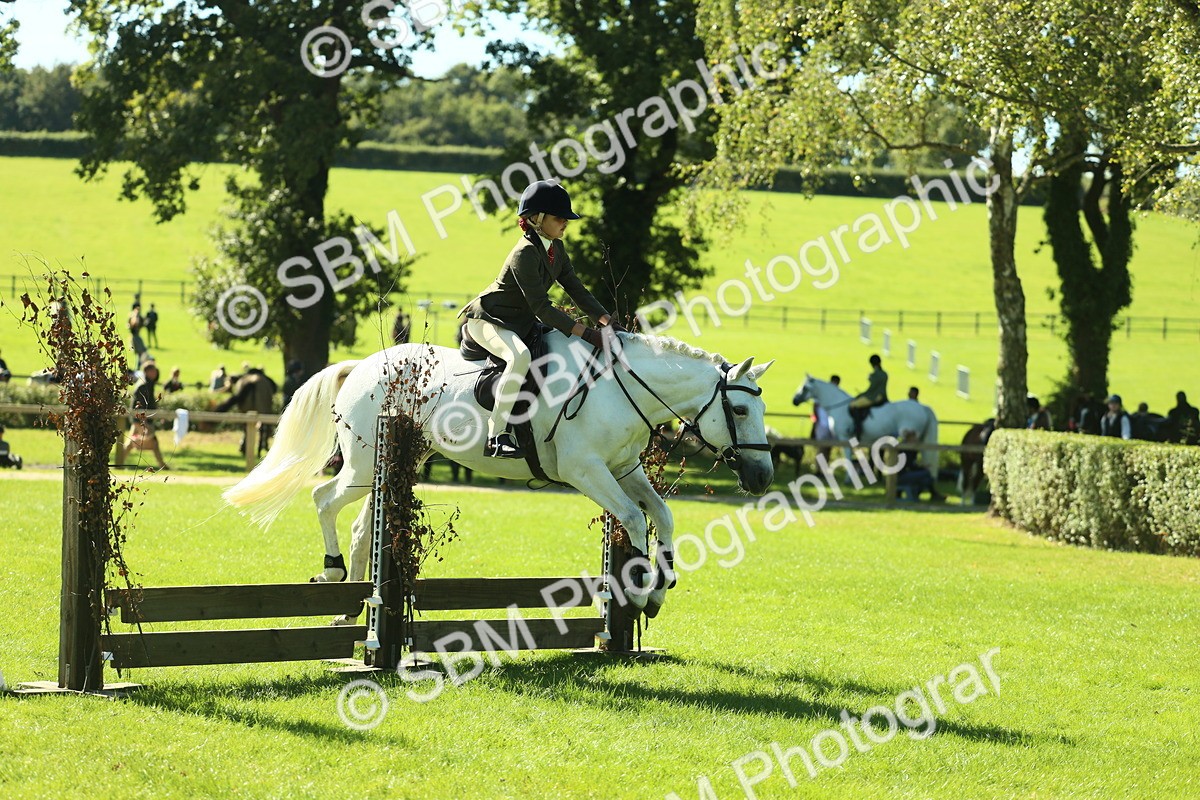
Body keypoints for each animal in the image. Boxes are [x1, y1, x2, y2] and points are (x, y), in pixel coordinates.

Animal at [223, 333, 775, 618]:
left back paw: (351, 608)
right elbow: (636, 521)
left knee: (362, 528)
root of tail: (361, 366)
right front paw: (639, 591)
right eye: (740, 412)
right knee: (323, 498)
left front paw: (659, 589)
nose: (762, 478)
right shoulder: (587, 472)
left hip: (396, 462)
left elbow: (662, 515)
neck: (622, 390)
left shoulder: (625, 469)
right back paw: (333, 572)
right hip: (363, 464)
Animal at [791, 374, 939, 477]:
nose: (794, 401)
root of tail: (922, 407)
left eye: (805, 387)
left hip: (909, 435)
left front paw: (849, 476)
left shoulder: (844, 437)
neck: (839, 406)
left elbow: (847, 456)